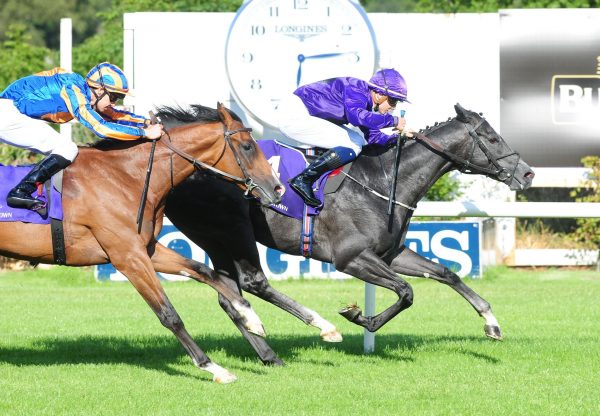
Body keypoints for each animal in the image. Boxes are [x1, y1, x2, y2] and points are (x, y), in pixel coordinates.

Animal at [0, 103, 284, 384]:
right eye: (247, 146)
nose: (277, 188)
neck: (126, 178)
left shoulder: (146, 248)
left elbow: (203, 271)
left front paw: (250, 318)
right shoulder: (128, 257)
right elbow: (169, 314)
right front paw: (213, 367)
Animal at [164, 104, 536, 364]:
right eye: (491, 138)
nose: (528, 173)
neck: (382, 183)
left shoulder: (391, 254)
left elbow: (447, 273)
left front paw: (491, 322)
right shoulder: (350, 257)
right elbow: (406, 291)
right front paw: (359, 317)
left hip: (215, 237)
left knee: (229, 296)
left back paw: (268, 354)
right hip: (231, 230)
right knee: (252, 283)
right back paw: (316, 329)